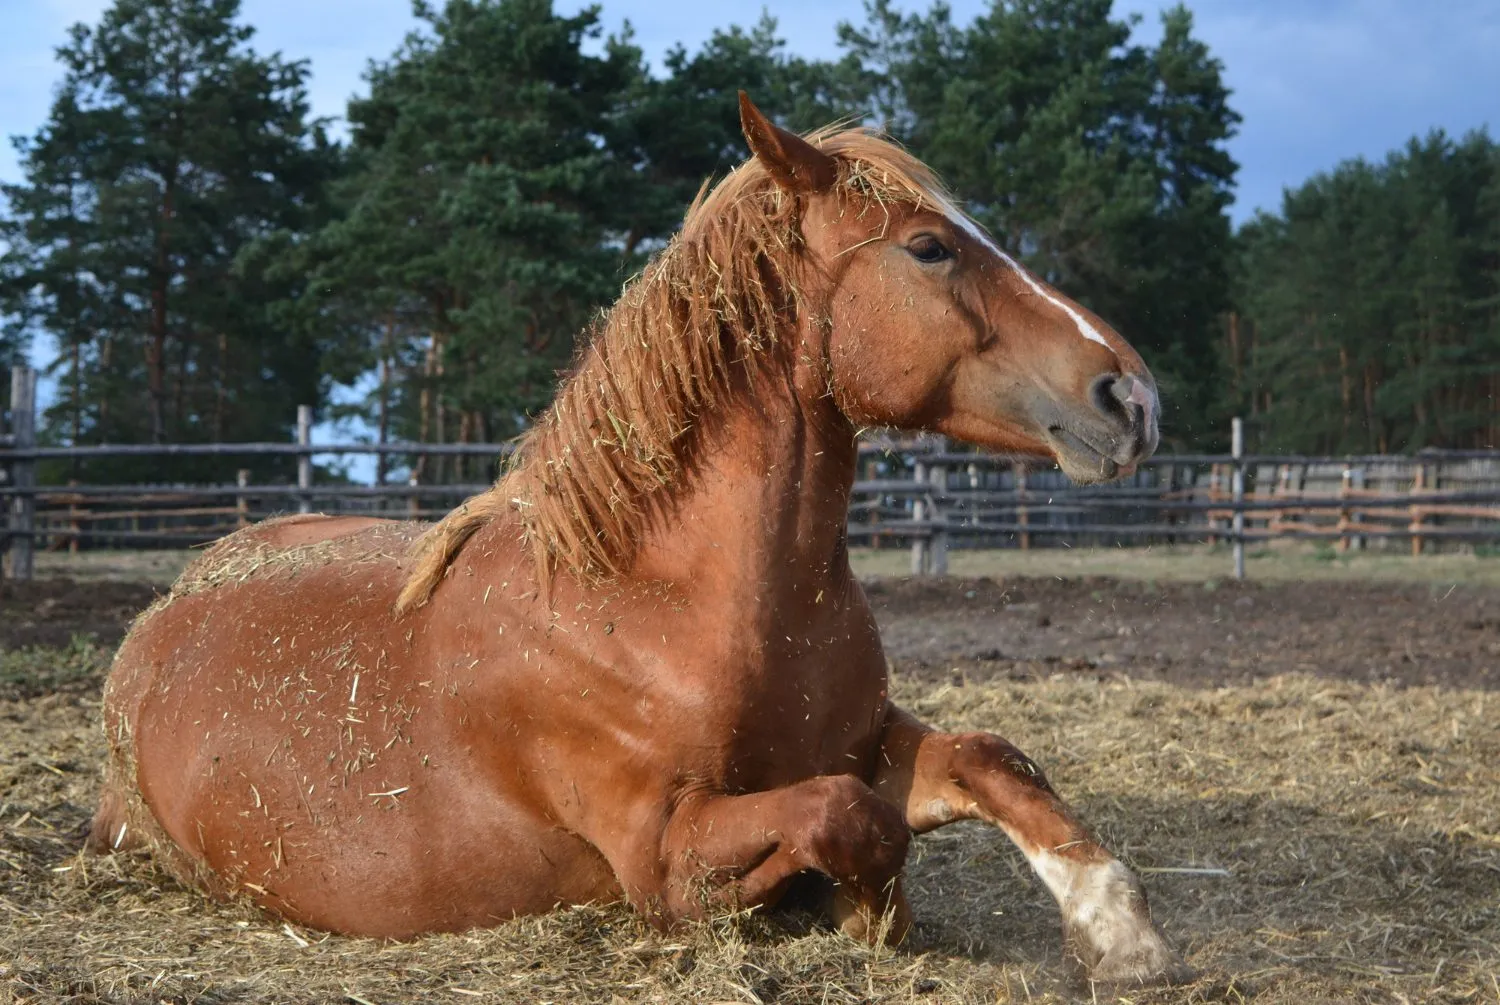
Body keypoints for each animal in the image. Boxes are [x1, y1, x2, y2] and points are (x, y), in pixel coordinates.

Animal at [89, 94, 1184, 985]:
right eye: (927, 247)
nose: (1132, 396)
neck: (659, 596)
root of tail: (157, 618)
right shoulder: (663, 851)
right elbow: (850, 818)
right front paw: (856, 909)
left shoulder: (871, 738)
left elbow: (992, 760)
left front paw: (1119, 932)